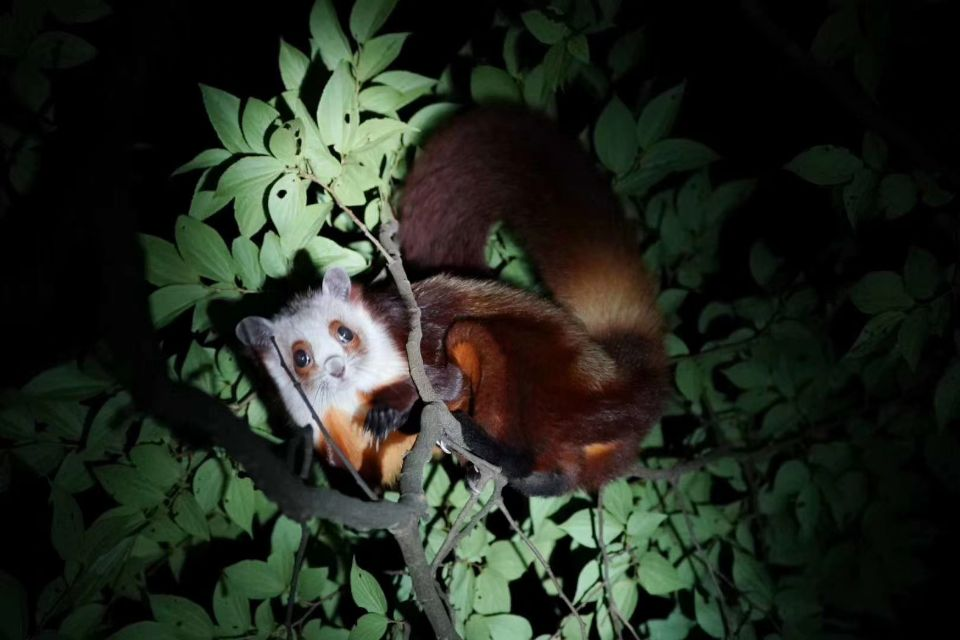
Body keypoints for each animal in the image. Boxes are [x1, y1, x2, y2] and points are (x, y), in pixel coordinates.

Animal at [236, 107, 664, 498]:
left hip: (547, 384)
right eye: (301, 357)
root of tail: (616, 380)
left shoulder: (406, 347)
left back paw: (498, 453)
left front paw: (393, 410)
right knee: (565, 475)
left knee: (478, 351)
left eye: (345, 333)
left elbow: (445, 384)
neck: (346, 400)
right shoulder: (323, 430)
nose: (338, 368)